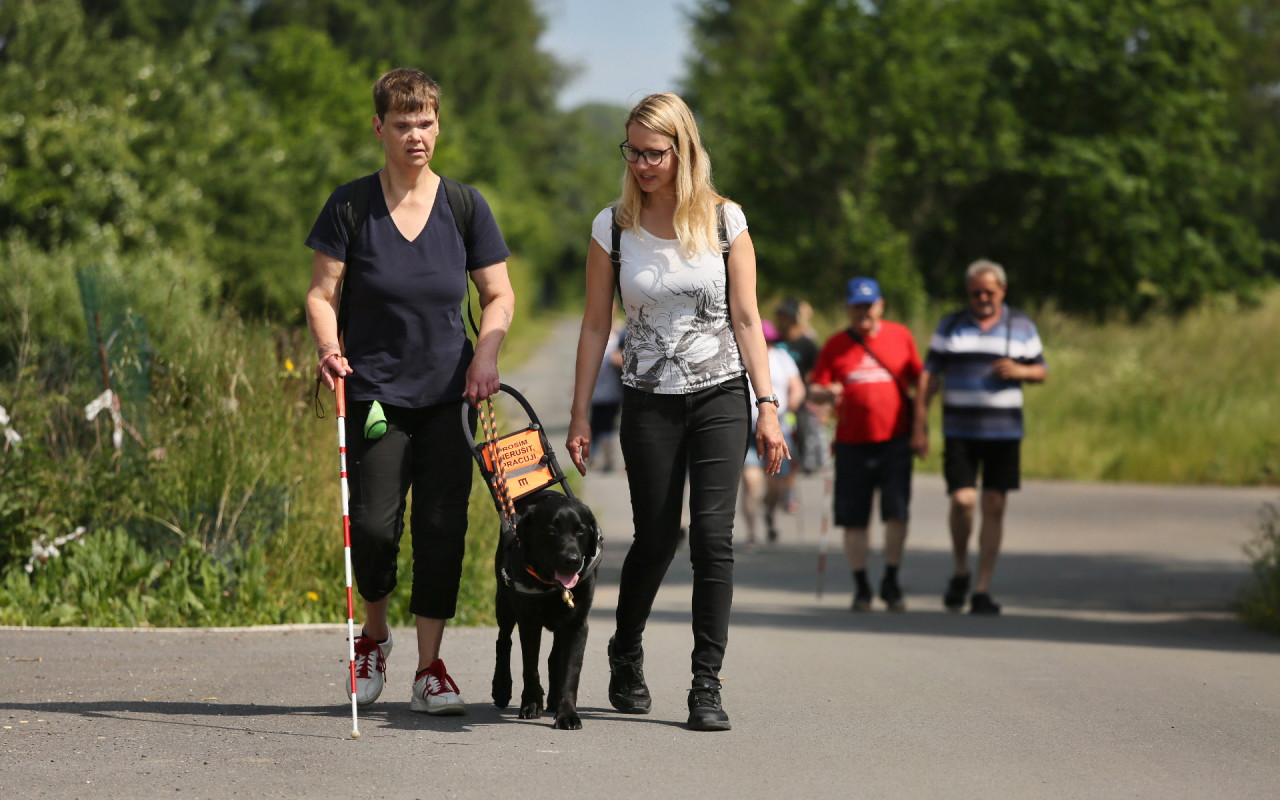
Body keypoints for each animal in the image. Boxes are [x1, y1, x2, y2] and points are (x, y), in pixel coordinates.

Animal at [494, 486, 604, 732]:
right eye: (552, 530)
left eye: (581, 530)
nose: (572, 560)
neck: (552, 585)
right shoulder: (528, 623)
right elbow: (530, 667)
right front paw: (531, 703)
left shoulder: (577, 625)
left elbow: (571, 672)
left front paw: (568, 715)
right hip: (504, 603)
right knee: (503, 641)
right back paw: (501, 688)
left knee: (555, 658)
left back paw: (554, 700)